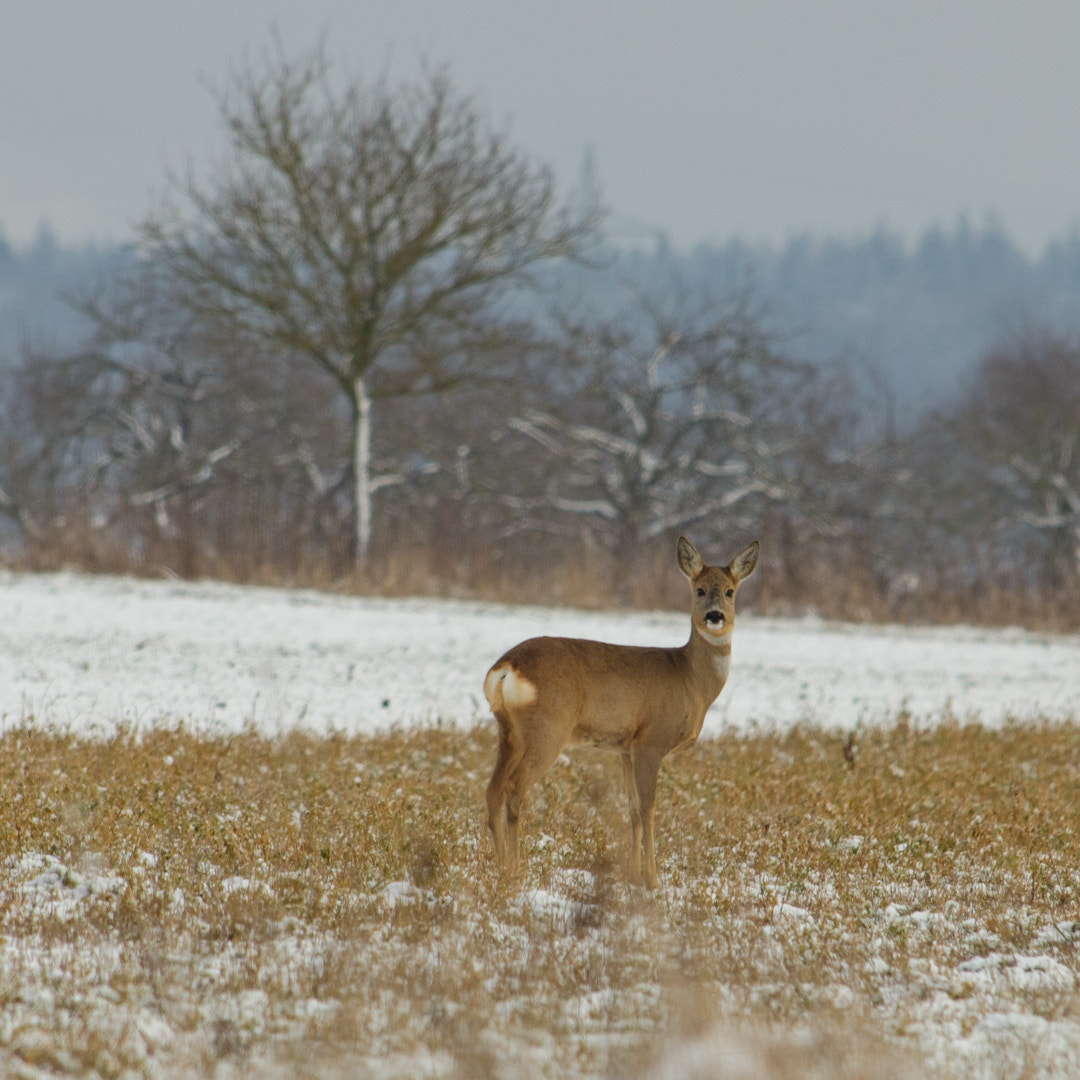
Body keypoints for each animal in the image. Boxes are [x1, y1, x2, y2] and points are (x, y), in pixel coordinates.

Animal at [483, 536, 759, 889]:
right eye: (698, 589)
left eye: (730, 591)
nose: (715, 616)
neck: (690, 679)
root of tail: (506, 667)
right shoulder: (651, 741)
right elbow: (649, 808)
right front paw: (653, 879)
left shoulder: (625, 748)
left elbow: (632, 809)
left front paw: (633, 874)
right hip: (547, 729)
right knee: (515, 790)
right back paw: (515, 870)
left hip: (508, 732)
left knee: (493, 790)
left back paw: (501, 867)